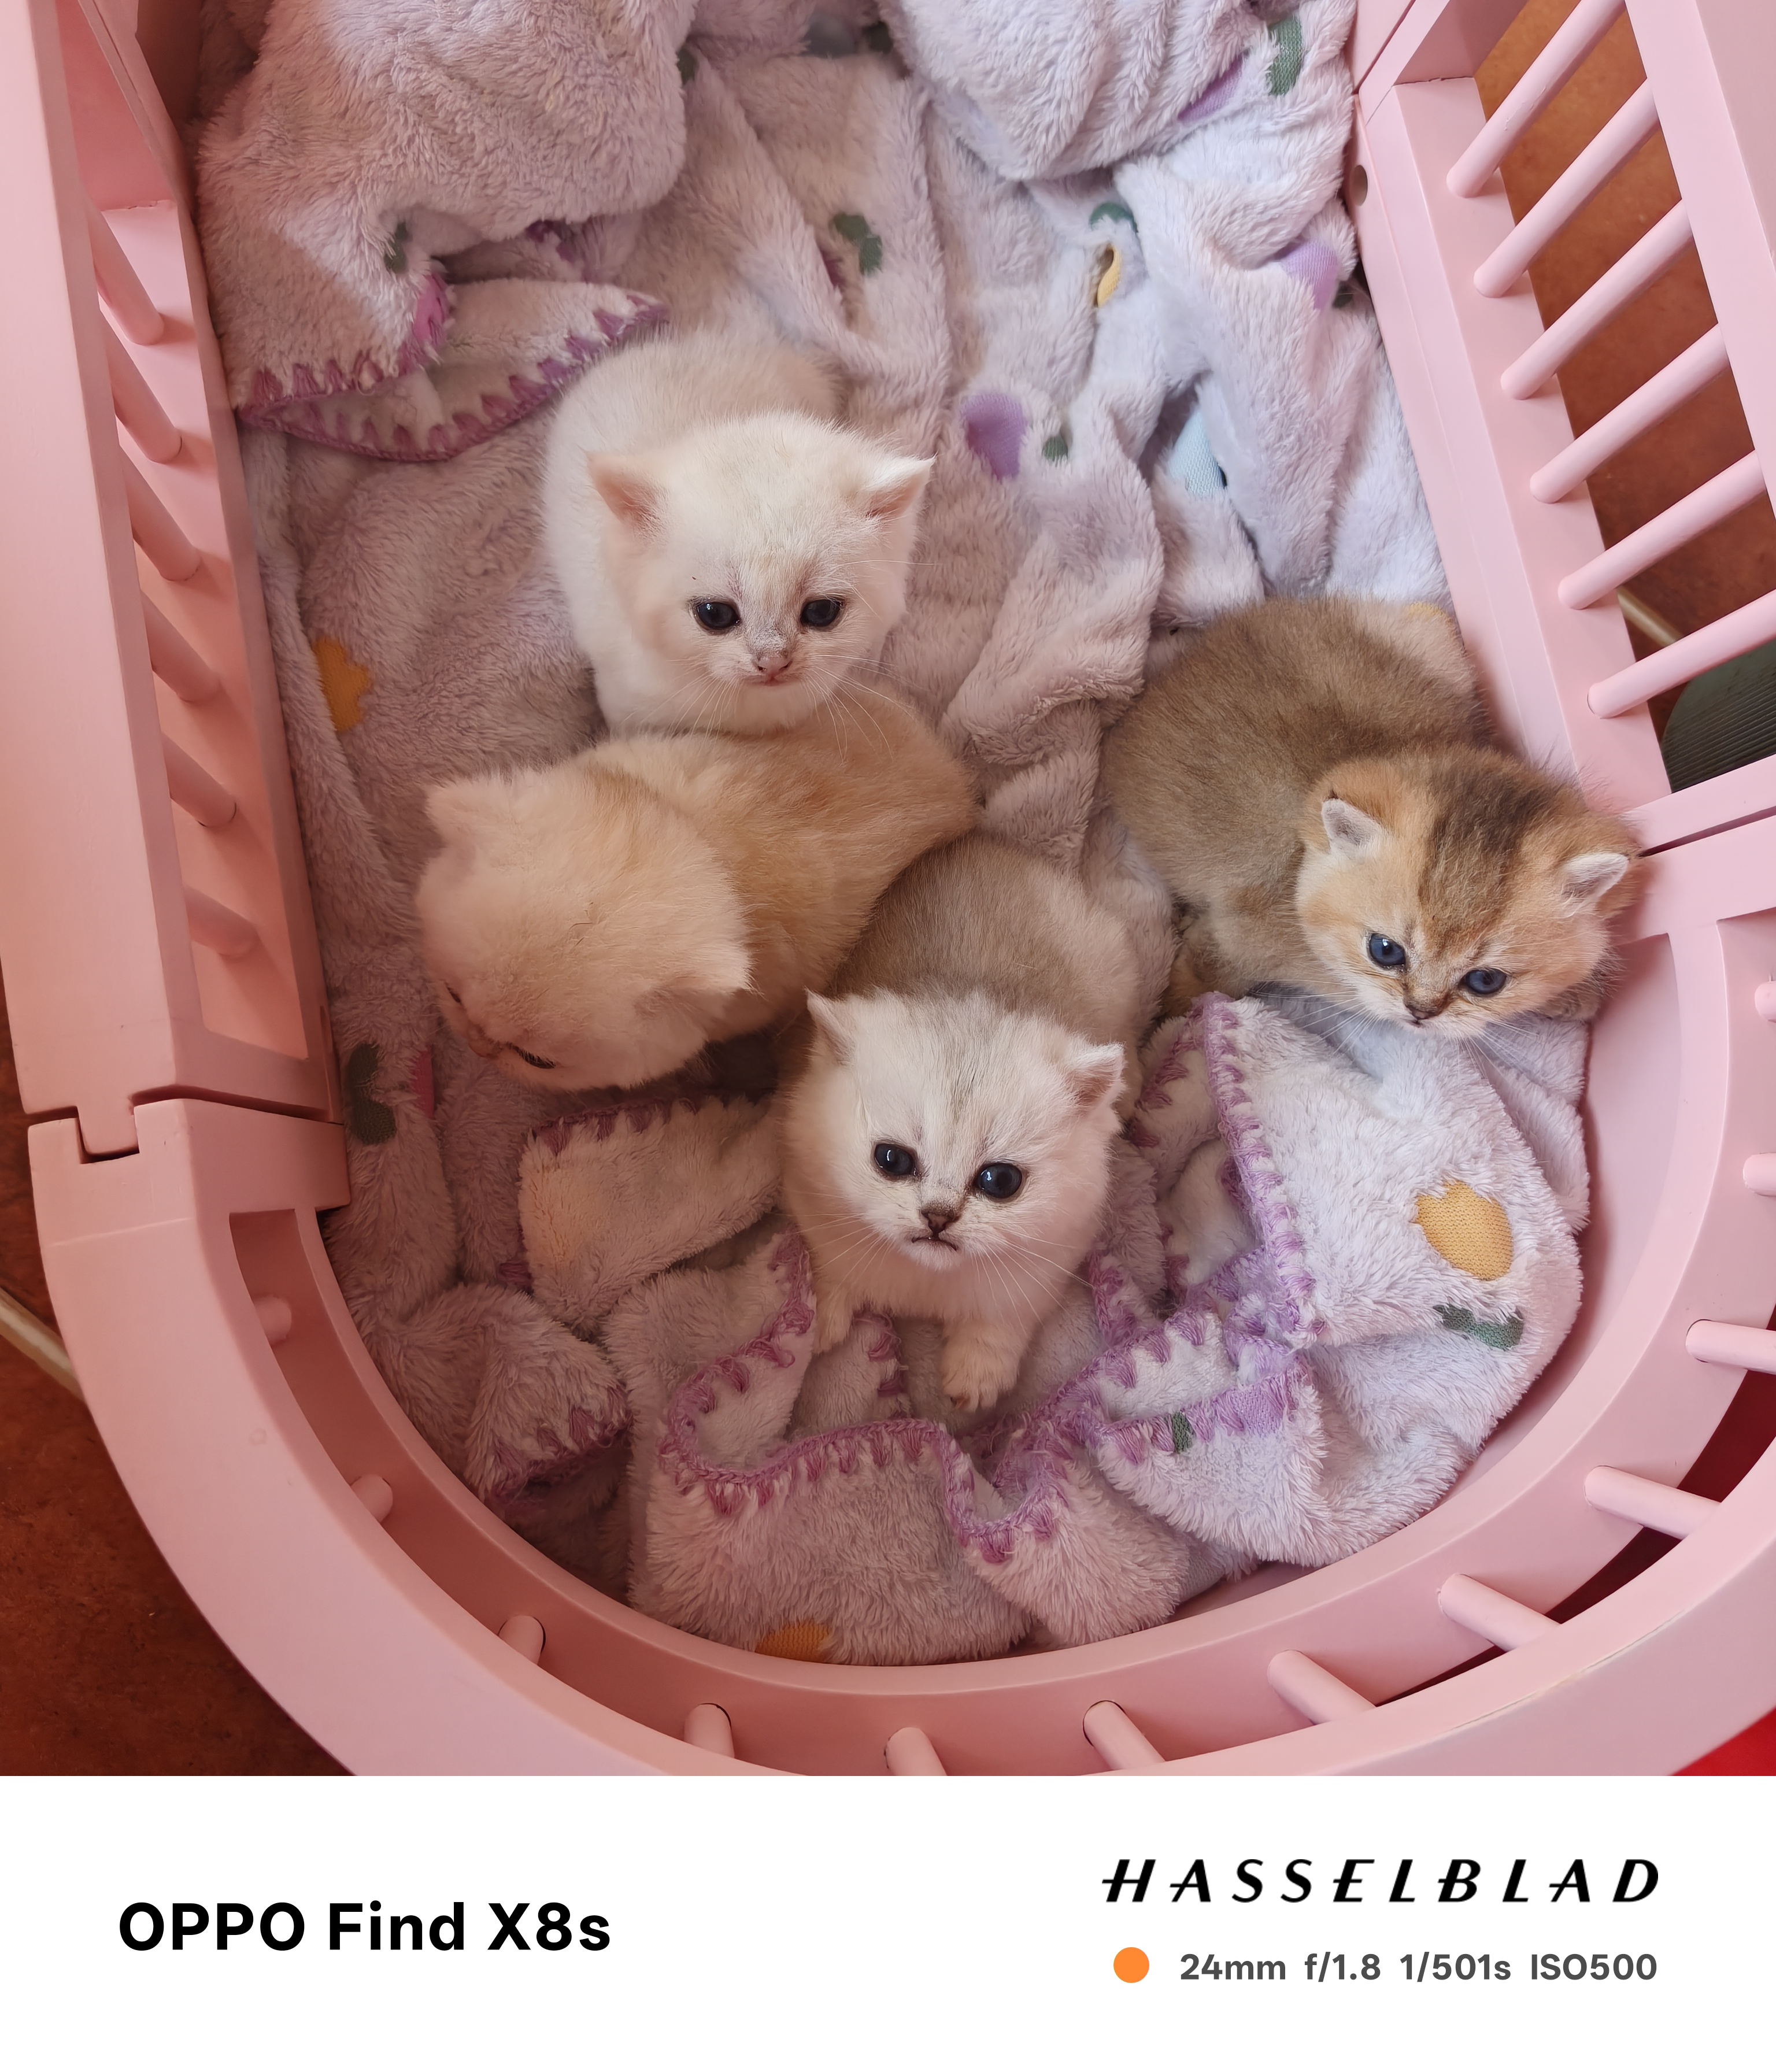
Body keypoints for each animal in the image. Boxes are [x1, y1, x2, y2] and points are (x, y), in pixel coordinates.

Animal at [778, 833, 1142, 1416]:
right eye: (892, 1160)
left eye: (1000, 1182)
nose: (938, 1218)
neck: (928, 1281)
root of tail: (987, 843)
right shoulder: (815, 1205)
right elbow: (831, 1268)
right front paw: (821, 1321)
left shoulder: (1044, 1267)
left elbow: (997, 1326)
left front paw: (975, 1379)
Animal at [1100, 596, 1642, 1032]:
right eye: (1386, 952)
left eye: (1485, 981)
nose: (1421, 1012)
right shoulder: (1235, 939)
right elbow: (1202, 975)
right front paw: (1157, 1037)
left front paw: (1575, 997)